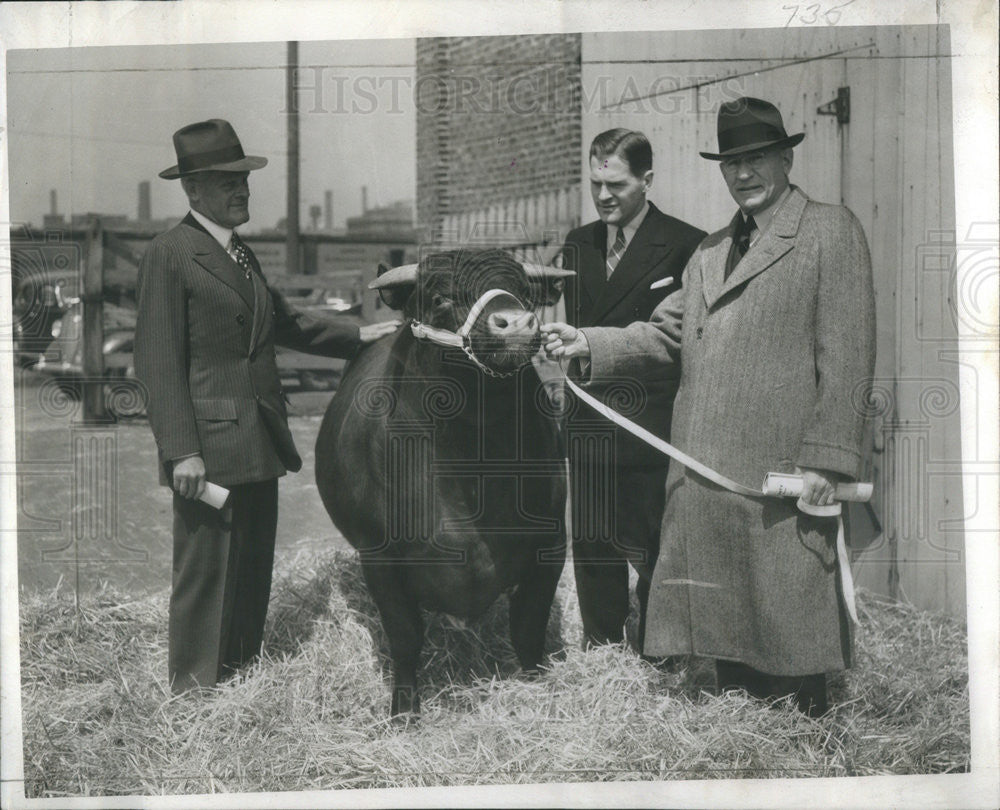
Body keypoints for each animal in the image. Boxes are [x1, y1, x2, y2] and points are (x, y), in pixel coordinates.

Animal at [316, 248, 576, 712]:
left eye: (525, 293)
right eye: (441, 298)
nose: (516, 324)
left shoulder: (550, 546)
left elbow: (529, 627)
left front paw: (535, 685)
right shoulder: (379, 557)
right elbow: (404, 636)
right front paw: (404, 708)